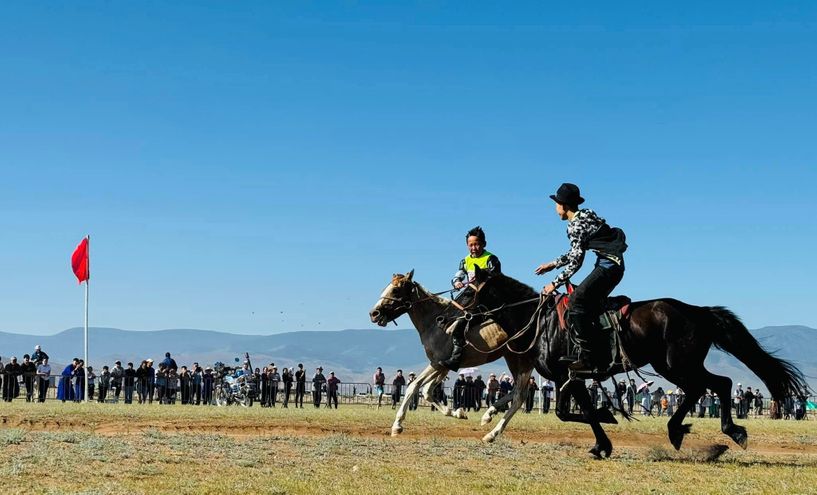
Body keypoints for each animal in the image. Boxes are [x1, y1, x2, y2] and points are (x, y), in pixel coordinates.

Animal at [466, 268, 808, 458]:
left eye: (468, 290)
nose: (457, 310)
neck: (541, 322)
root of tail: (697, 311)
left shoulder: (567, 375)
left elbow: (580, 412)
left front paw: (606, 428)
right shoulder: (567, 378)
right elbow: (571, 412)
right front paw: (605, 432)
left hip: (675, 364)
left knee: (712, 385)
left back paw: (702, 431)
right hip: (674, 366)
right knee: (711, 386)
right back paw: (705, 431)